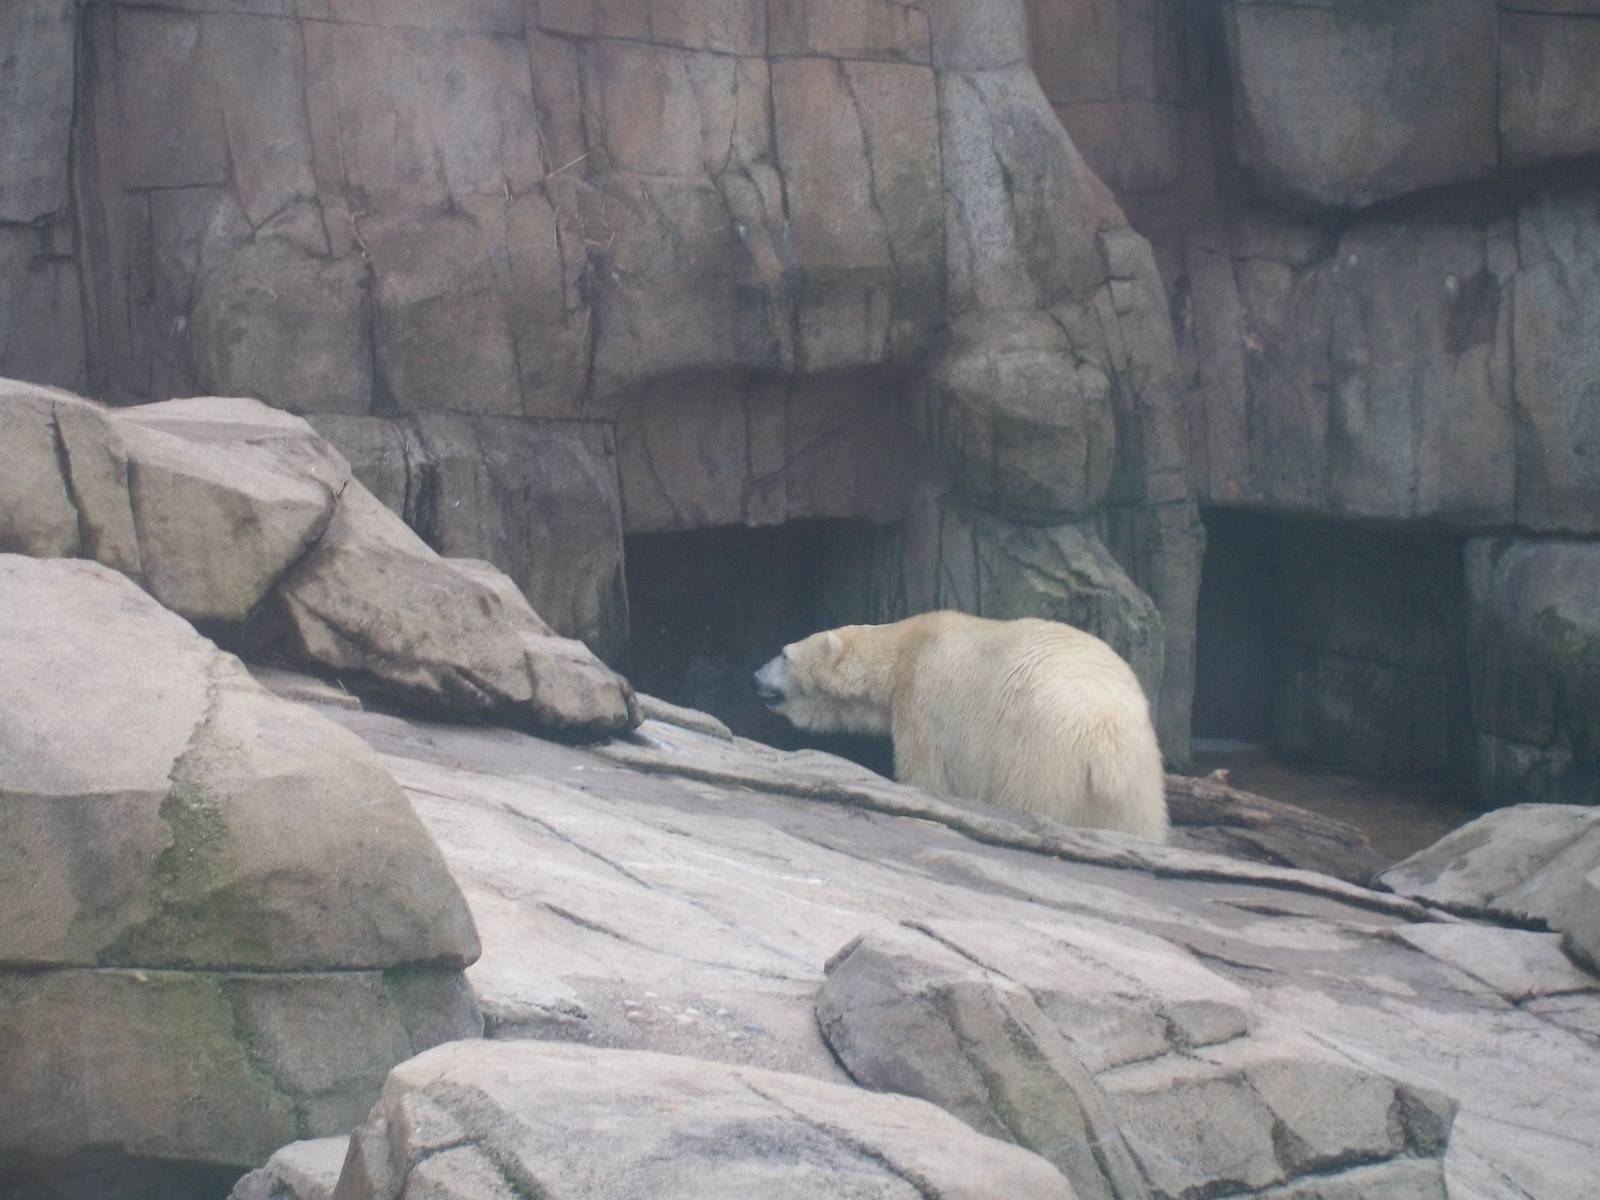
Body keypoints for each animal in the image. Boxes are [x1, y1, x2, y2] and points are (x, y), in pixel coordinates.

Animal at [754, 611, 1168, 842]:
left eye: (784, 653)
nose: (755, 675)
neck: (908, 647)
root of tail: (1106, 739)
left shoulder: (923, 702)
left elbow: (927, 775)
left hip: (1040, 753)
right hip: (1139, 782)